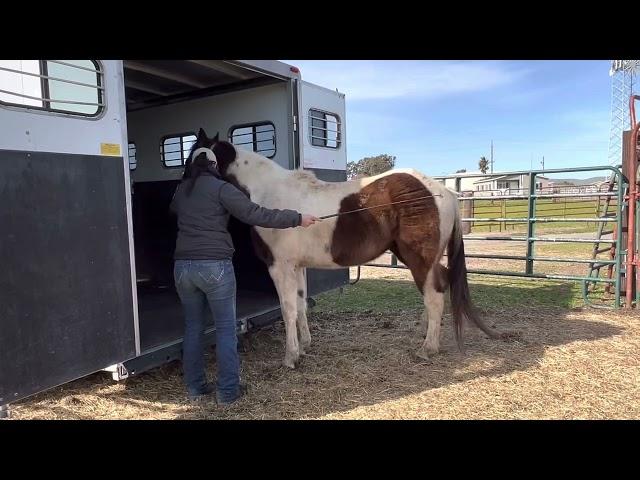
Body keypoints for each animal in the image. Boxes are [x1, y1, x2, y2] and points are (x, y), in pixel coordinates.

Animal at [190, 127, 504, 368]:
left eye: (195, 159)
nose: (185, 188)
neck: (269, 193)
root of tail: (444, 192)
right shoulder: (297, 267)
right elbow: (301, 305)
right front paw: (305, 345)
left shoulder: (279, 267)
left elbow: (288, 309)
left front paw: (291, 357)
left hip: (419, 260)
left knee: (435, 297)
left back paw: (427, 349)